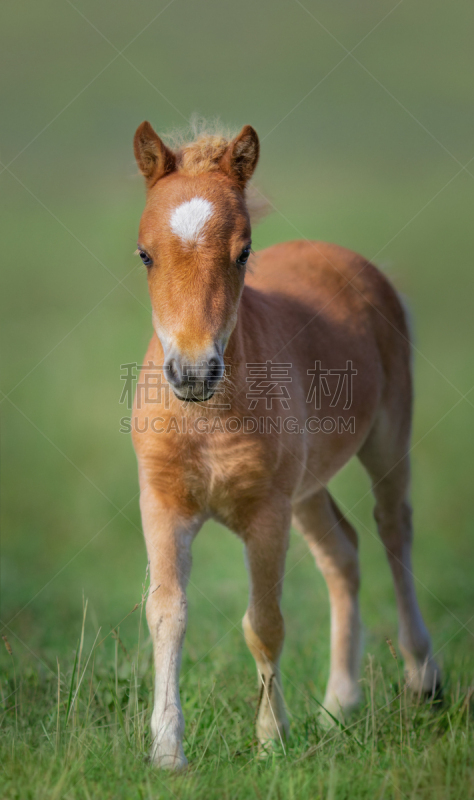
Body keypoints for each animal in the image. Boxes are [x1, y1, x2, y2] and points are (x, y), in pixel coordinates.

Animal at [131, 119, 440, 768]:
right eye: (145, 253)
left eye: (243, 252)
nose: (193, 372)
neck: (207, 419)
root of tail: (340, 254)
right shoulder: (163, 502)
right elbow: (166, 612)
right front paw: (167, 750)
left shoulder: (267, 512)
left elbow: (264, 622)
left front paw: (272, 739)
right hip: (308, 486)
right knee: (343, 551)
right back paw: (338, 705)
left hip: (386, 437)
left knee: (392, 527)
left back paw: (423, 679)